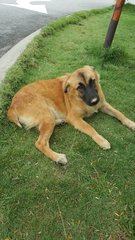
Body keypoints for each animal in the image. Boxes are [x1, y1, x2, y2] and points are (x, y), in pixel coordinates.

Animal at [7, 65, 135, 164]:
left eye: (92, 81)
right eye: (79, 87)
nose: (94, 101)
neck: (79, 97)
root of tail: (12, 106)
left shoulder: (103, 104)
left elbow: (119, 113)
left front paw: (130, 123)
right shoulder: (75, 118)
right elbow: (90, 128)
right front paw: (101, 140)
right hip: (47, 116)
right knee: (40, 143)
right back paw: (58, 158)